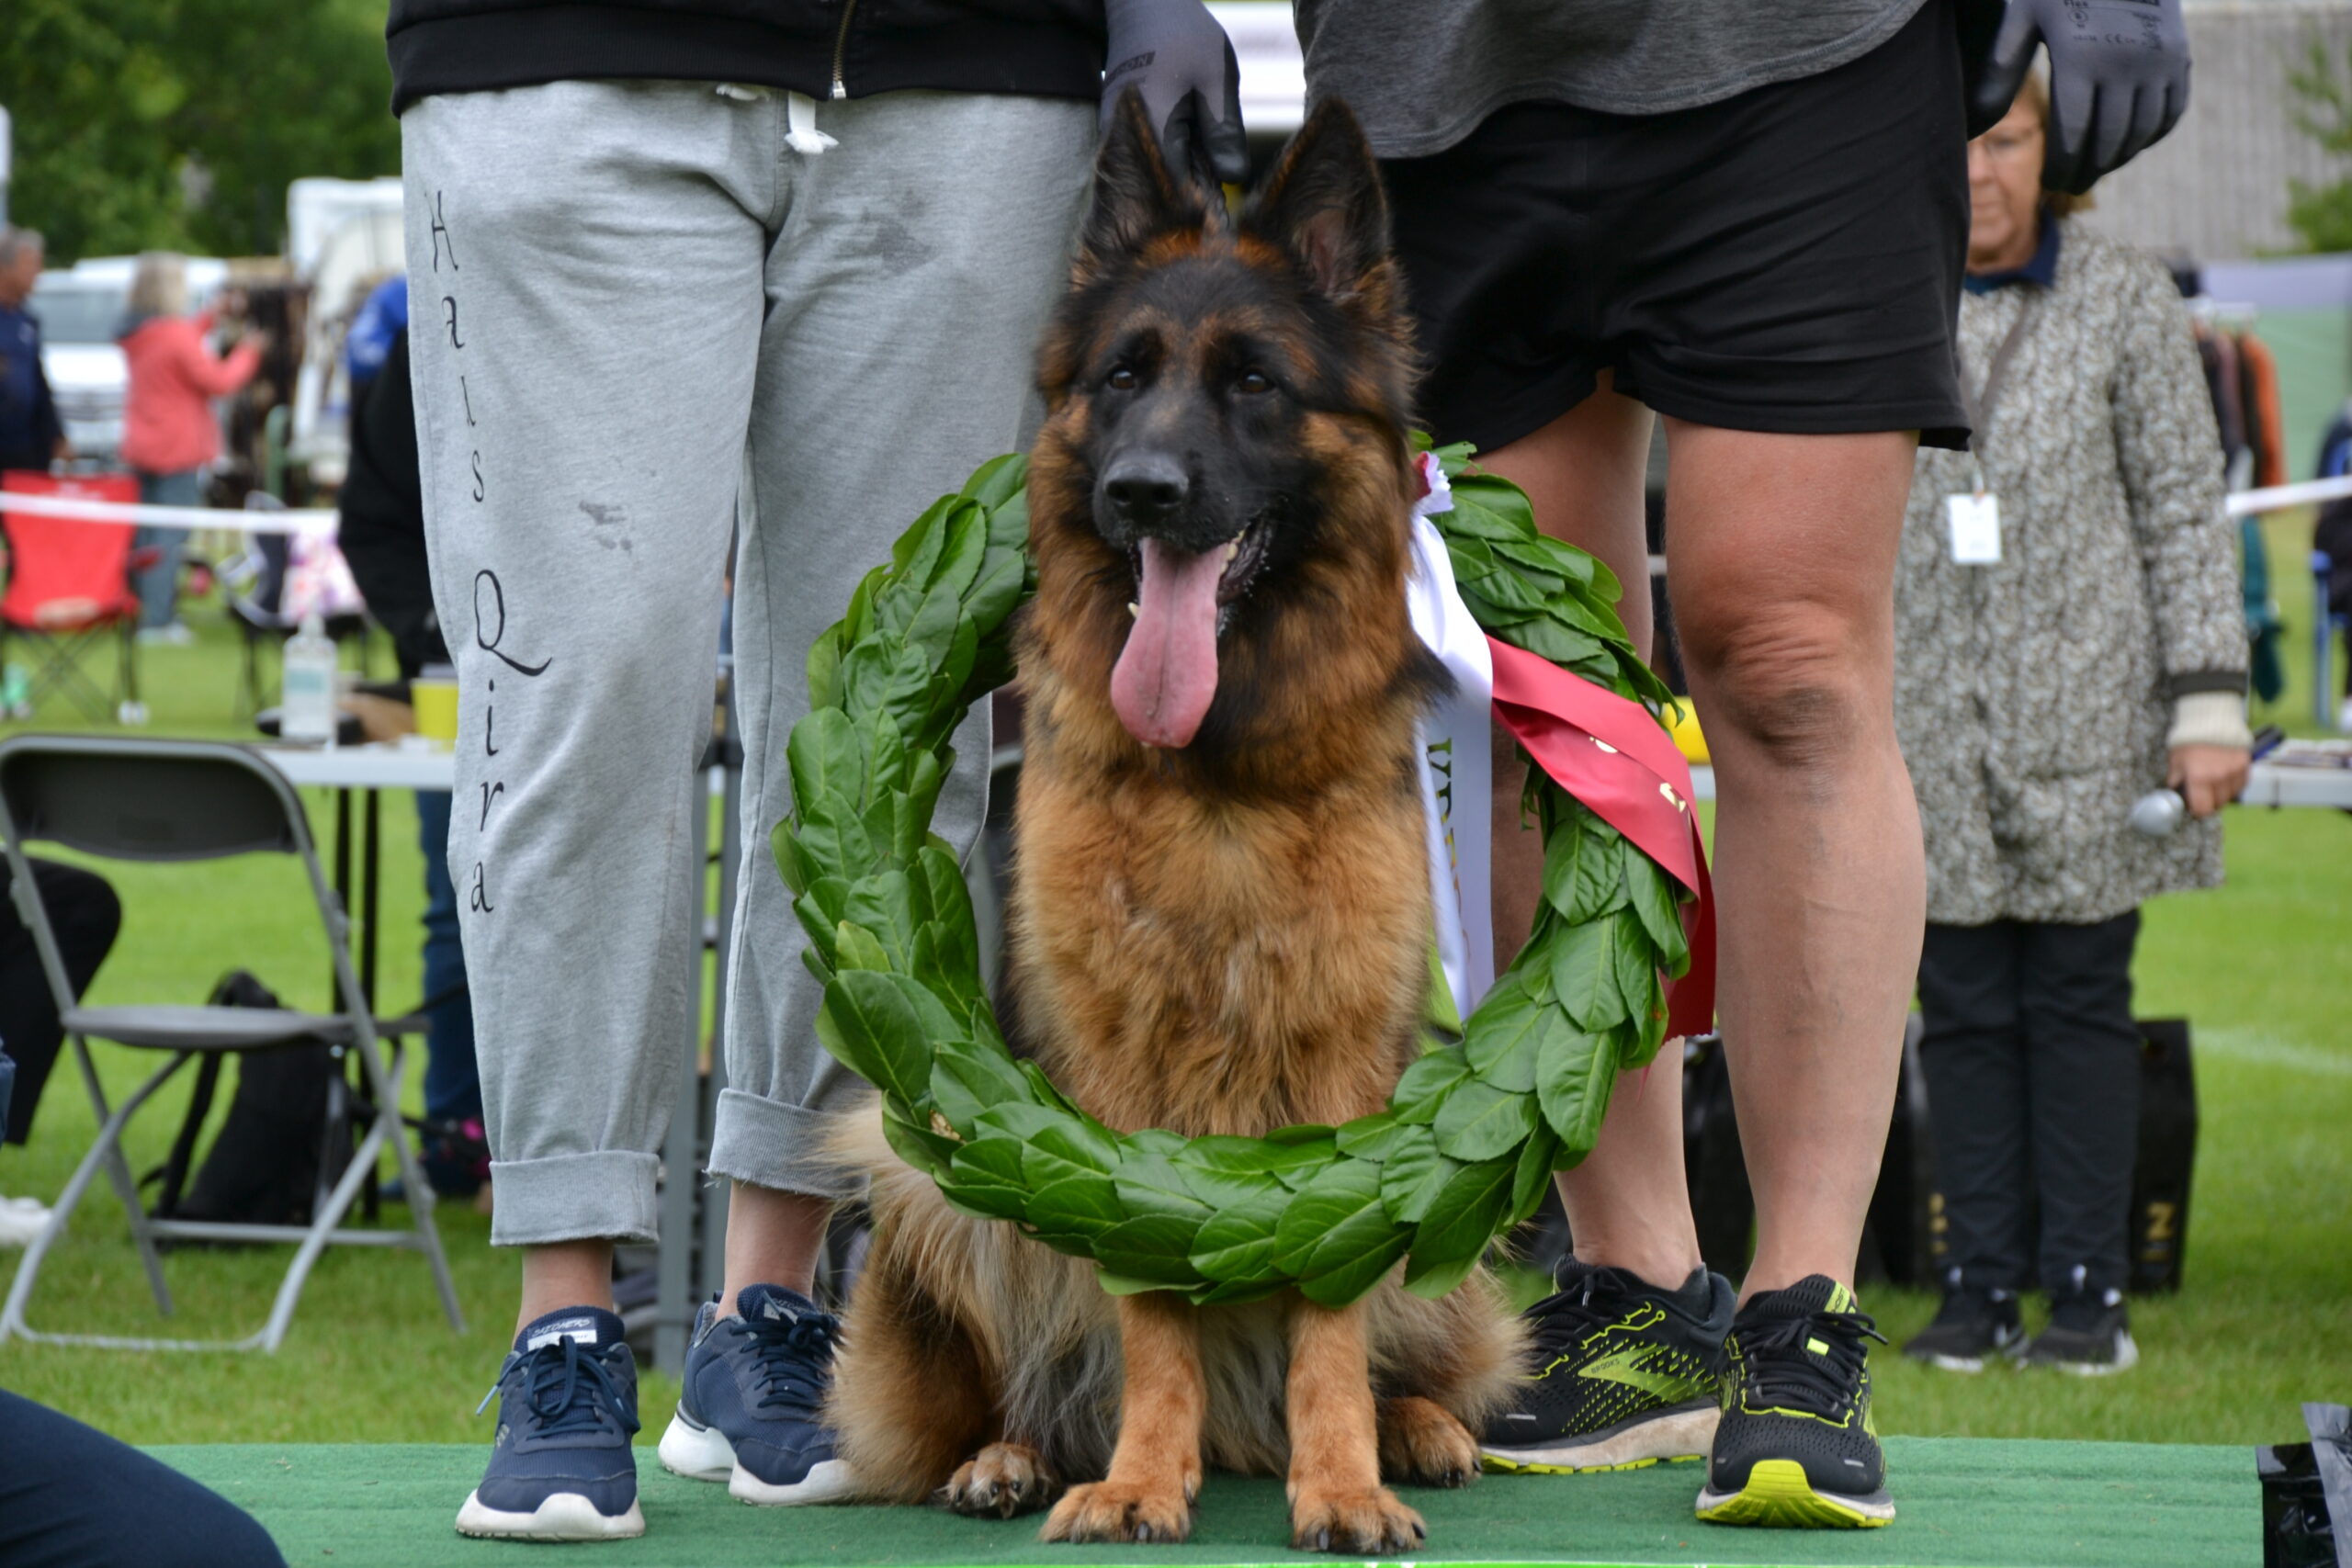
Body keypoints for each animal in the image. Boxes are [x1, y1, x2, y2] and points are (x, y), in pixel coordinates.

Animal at [828, 101, 1523, 1561]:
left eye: (1254, 381)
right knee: (1021, 1377)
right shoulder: (1112, 1098)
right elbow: (1145, 1294)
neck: (1221, 785)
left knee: (1417, 1353)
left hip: (1454, 1227)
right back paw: (1010, 1454)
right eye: (1123, 376)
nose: (1141, 491)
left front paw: (1343, 1481)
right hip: (919, 1173)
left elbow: (1332, 1303)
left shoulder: (1346, 1092)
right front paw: (1144, 1478)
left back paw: (1417, 1428)